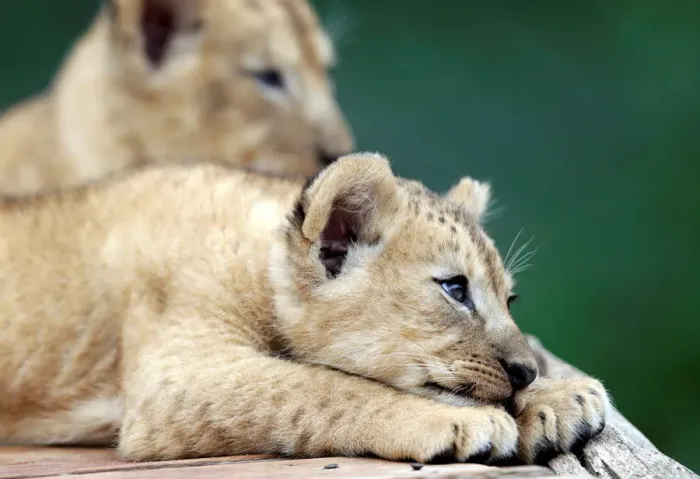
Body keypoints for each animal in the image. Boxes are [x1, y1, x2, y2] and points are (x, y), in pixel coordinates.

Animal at [0, 153, 609, 464]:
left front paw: (560, 399)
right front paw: (459, 421)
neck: (260, 262)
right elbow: (318, 387)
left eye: (510, 299)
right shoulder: (172, 383)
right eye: (455, 289)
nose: (526, 371)